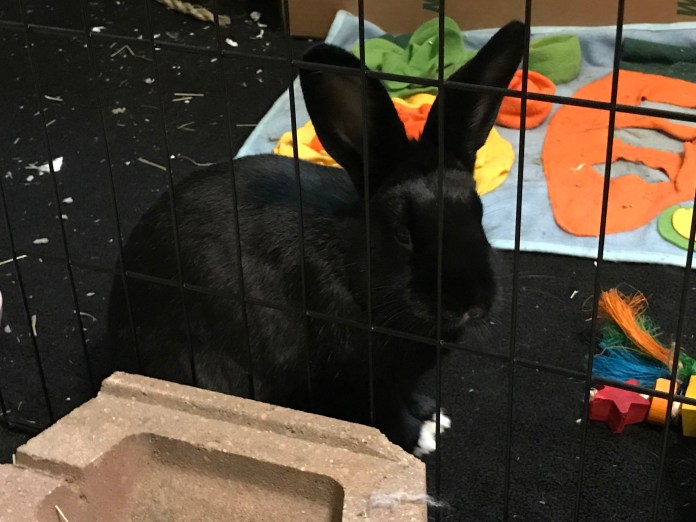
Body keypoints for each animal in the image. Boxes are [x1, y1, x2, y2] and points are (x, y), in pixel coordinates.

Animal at [104, 21, 525, 456]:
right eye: (402, 233)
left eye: (478, 215)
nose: (470, 303)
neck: (352, 265)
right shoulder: (363, 385)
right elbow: (387, 416)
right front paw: (420, 438)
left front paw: (432, 415)